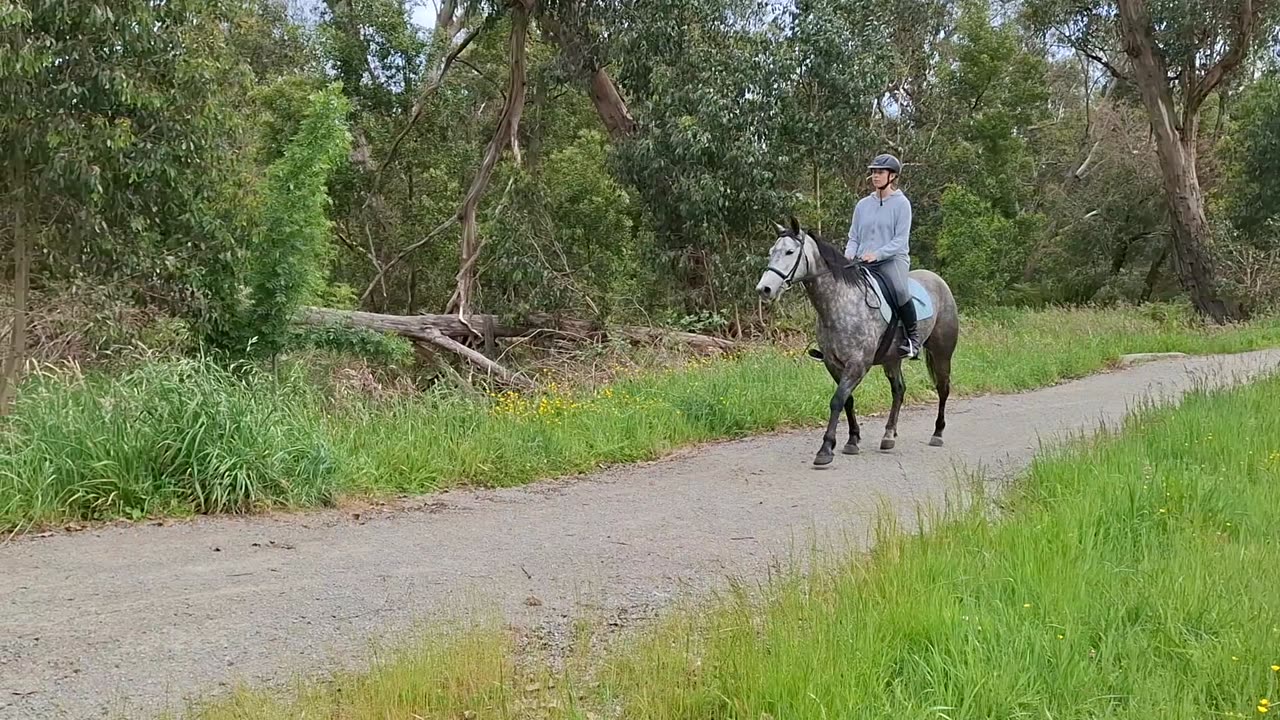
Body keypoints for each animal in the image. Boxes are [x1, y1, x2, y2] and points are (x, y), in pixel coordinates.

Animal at [747, 215, 962, 466]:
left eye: (790, 252)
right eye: (772, 252)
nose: (764, 289)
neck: (840, 302)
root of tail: (938, 280)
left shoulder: (857, 364)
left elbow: (837, 399)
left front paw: (825, 449)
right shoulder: (833, 363)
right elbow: (847, 400)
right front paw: (852, 440)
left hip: (942, 353)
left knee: (943, 388)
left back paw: (937, 434)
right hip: (892, 358)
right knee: (899, 390)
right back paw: (889, 435)